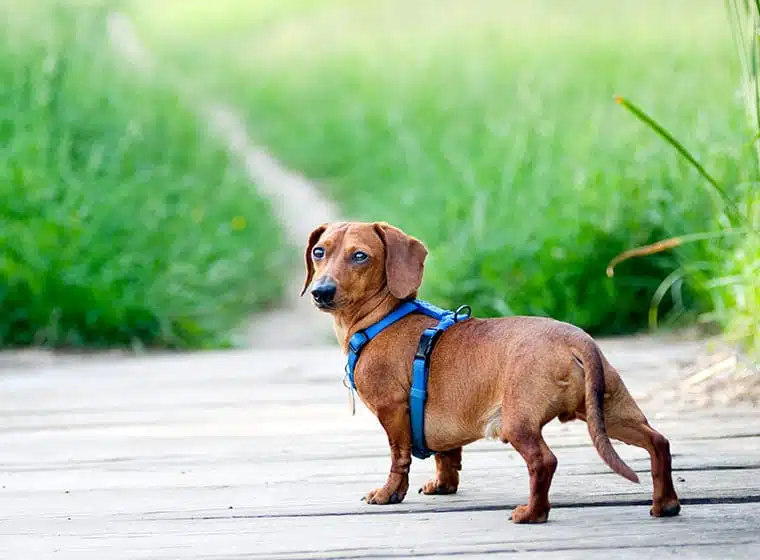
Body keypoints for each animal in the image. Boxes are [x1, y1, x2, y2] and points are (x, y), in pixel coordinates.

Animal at [302, 221, 684, 524]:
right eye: (319, 252)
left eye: (360, 256)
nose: (321, 292)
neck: (382, 317)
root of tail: (575, 340)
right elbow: (447, 456)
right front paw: (443, 486)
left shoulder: (393, 411)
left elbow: (399, 458)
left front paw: (388, 493)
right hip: (611, 412)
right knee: (658, 442)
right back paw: (665, 504)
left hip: (519, 422)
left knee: (544, 462)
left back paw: (531, 514)